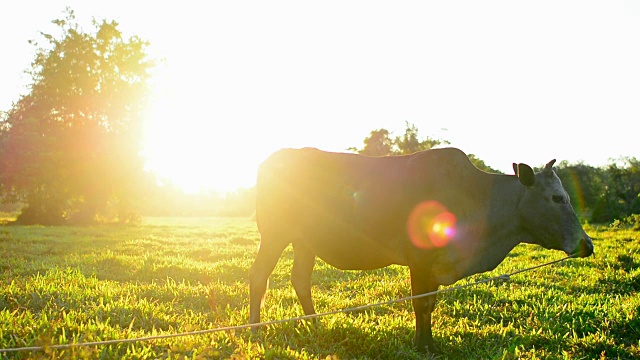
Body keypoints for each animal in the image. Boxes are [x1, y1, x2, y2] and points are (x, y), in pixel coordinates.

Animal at [250, 147, 596, 354]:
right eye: (557, 198)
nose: (587, 243)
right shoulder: (420, 260)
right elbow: (421, 303)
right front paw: (423, 345)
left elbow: (429, 303)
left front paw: (427, 342)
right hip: (275, 233)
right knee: (259, 276)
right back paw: (255, 332)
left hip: (304, 241)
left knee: (300, 279)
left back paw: (315, 325)